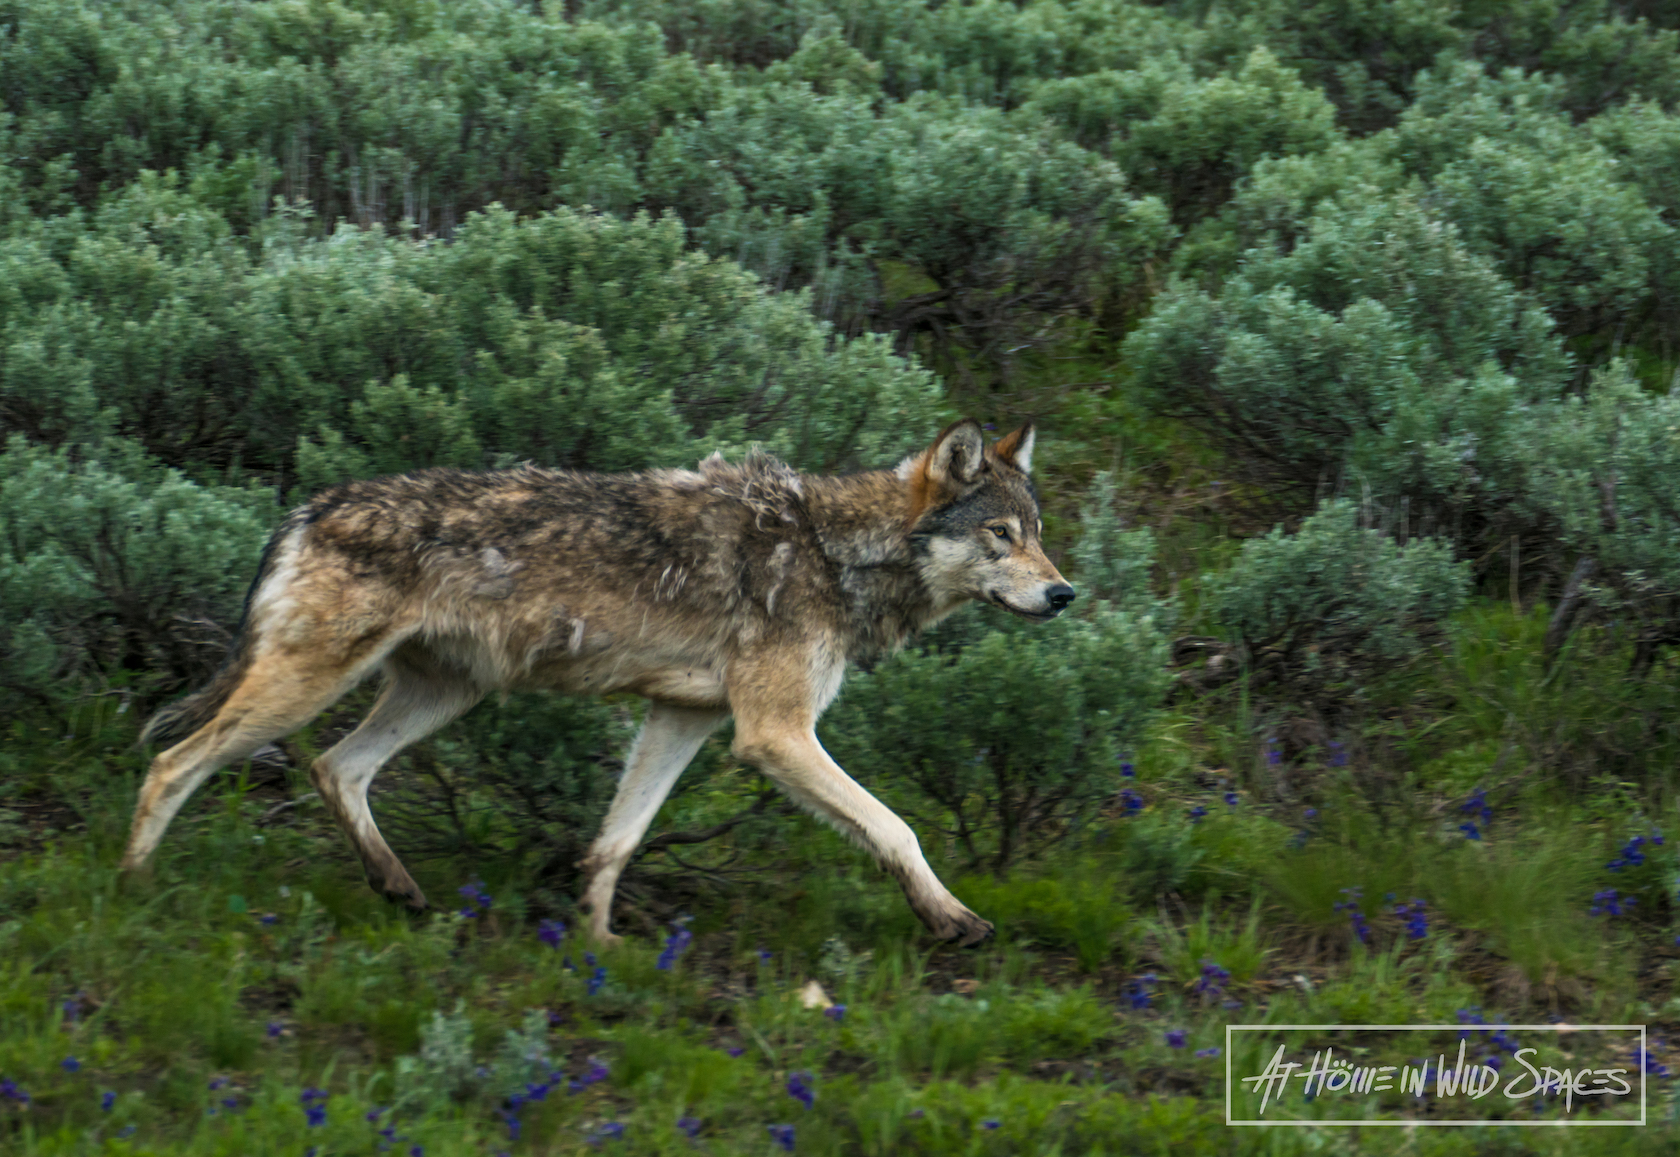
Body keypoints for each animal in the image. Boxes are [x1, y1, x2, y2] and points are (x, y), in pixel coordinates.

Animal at [120, 419, 1074, 946]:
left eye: (1036, 533)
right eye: (999, 535)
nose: (1064, 593)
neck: (834, 552)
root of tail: (303, 508)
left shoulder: (683, 718)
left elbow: (615, 842)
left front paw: (599, 942)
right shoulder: (773, 735)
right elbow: (897, 826)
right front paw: (952, 920)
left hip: (438, 696)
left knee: (336, 768)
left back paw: (399, 887)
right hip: (304, 688)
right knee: (172, 762)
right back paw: (128, 889)